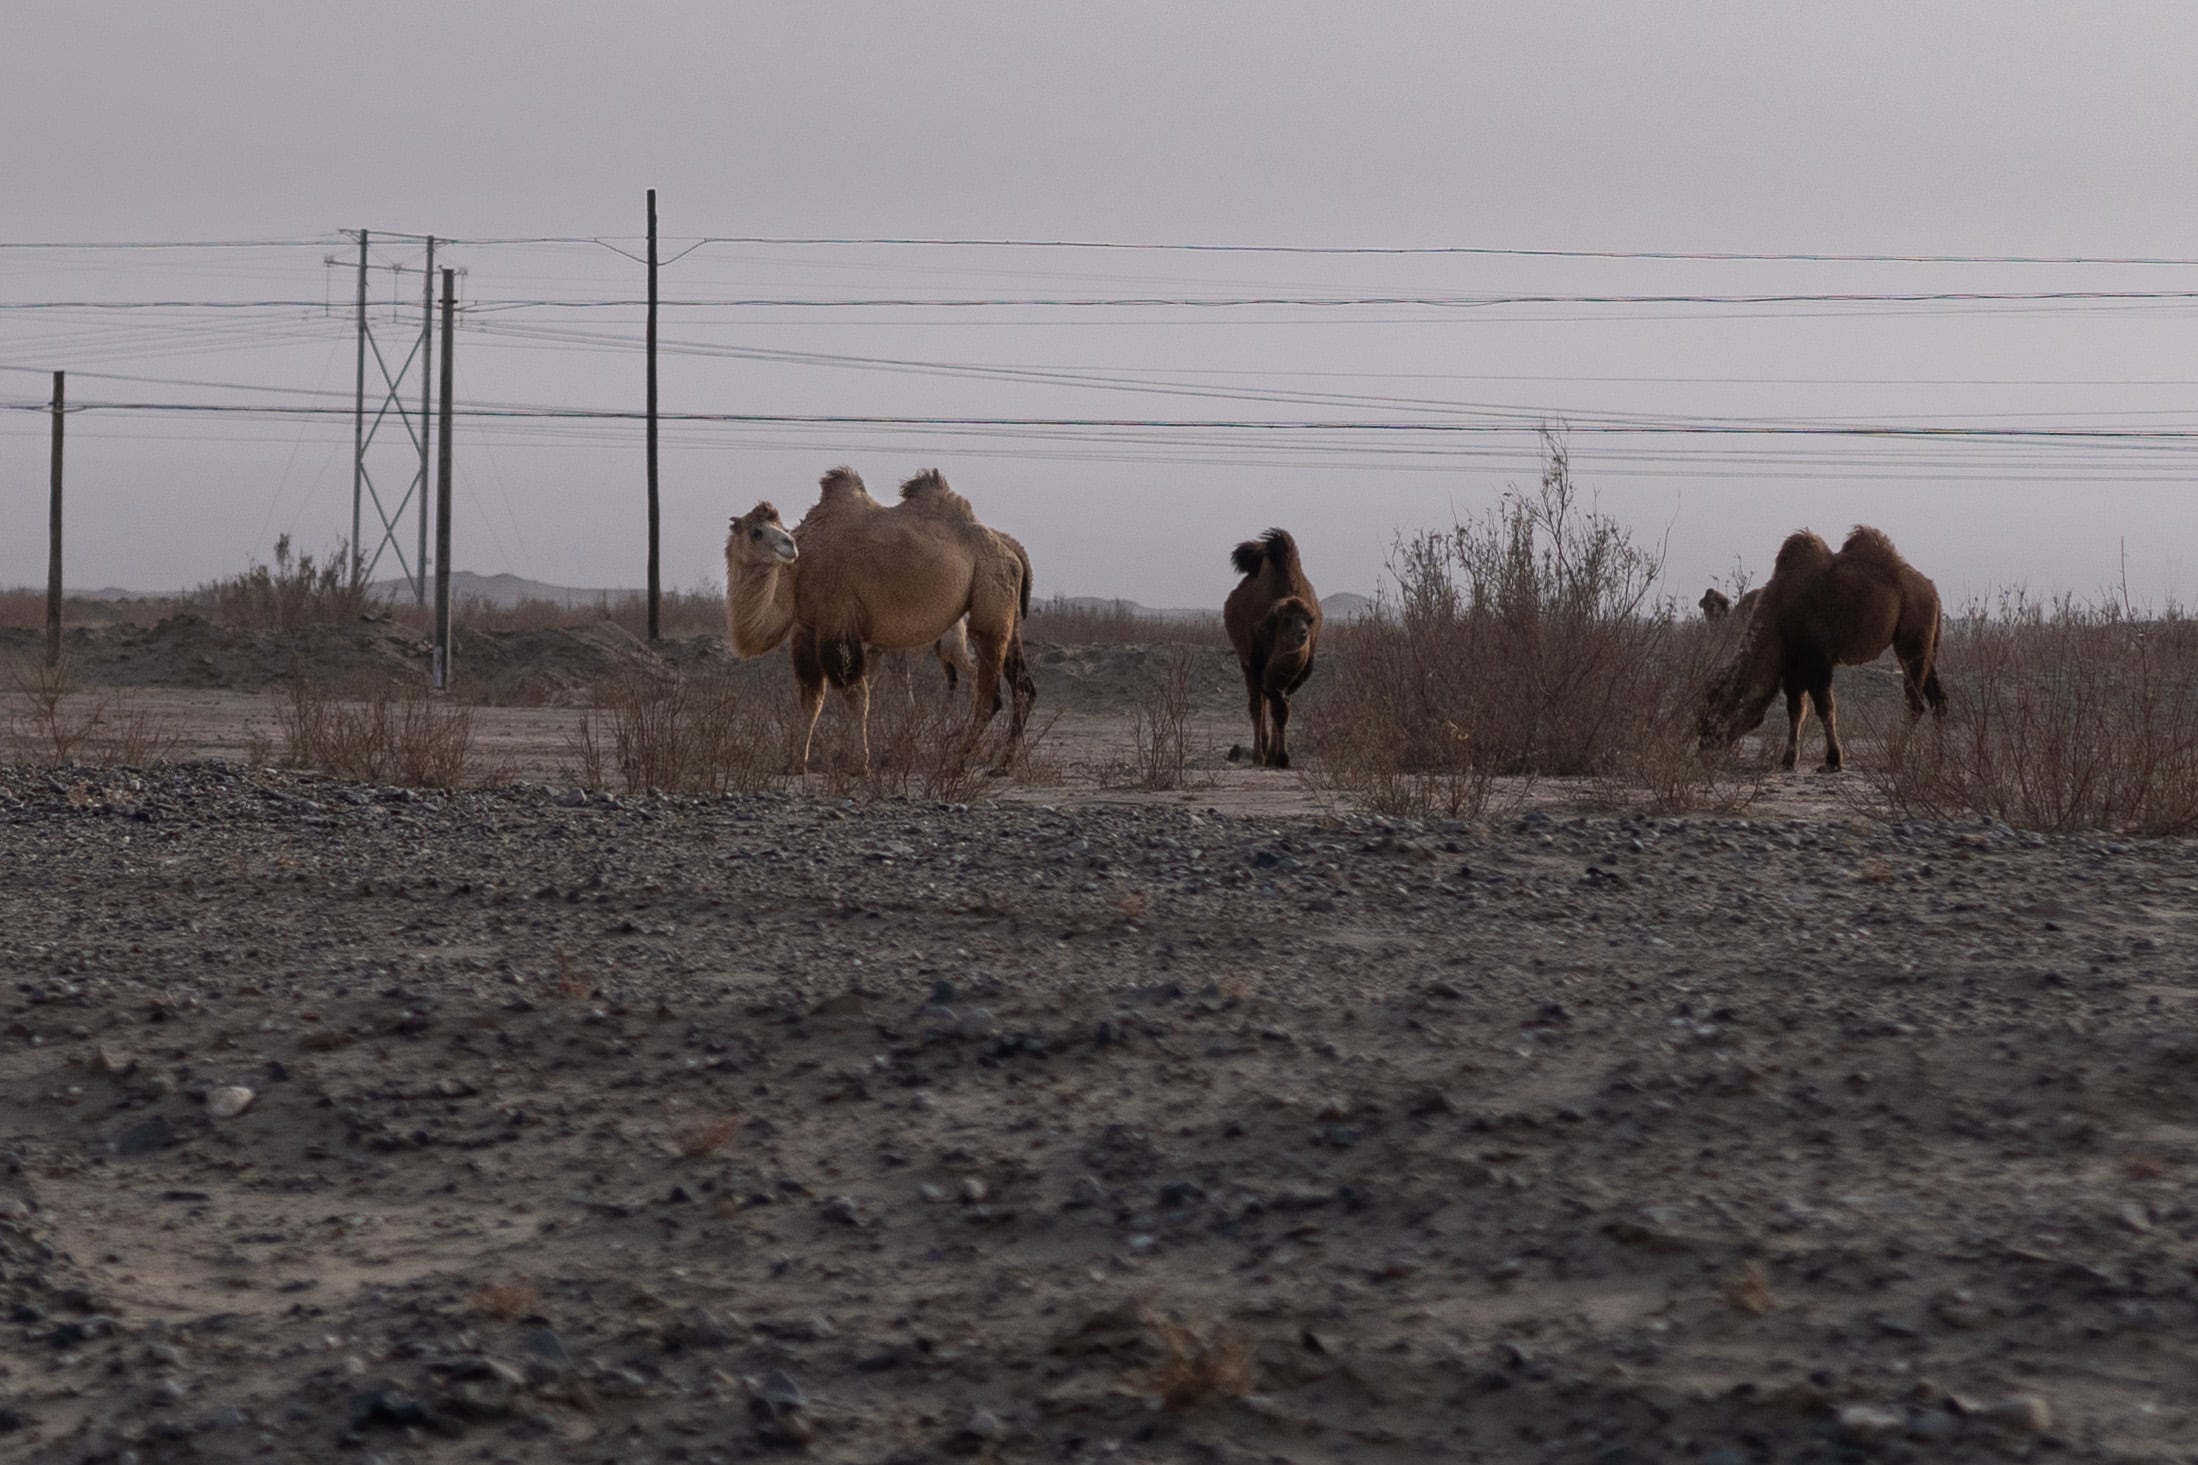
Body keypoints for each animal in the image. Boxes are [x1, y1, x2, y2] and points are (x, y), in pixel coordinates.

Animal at [720, 470, 1028, 773]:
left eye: (781, 528)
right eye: (756, 531)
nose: (789, 545)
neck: (798, 574)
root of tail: (1010, 548)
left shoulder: (839, 620)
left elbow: (857, 696)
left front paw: (860, 764)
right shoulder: (806, 631)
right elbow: (811, 699)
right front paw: (797, 761)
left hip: (990, 592)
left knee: (989, 692)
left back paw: (957, 762)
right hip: (1006, 606)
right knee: (1022, 687)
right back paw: (1002, 764)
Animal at [1222, 529, 1318, 777]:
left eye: (1310, 619)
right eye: (1287, 620)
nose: (1302, 634)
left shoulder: (1295, 677)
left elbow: (1283, 709)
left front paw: (1279, 756)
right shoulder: (1258, 665)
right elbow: (1273, 707)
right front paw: (1277, 757)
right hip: (1246, 662)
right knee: (1257, 705)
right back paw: (1259, 755)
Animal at [1688, 529, 1951, 777]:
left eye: (1716, 713)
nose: (1704, 749)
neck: (1778, 612)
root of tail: (1932, 590)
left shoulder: (1817, 658)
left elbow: (1825, 707)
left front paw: (1833, 761)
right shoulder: (1792, 663)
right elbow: (1796, 709)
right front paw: (1789, 759)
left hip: (1911, 636)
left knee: (1915, 701)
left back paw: (1895, 758)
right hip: (1929, 643)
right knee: (1938, 698)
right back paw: (1938, 761)